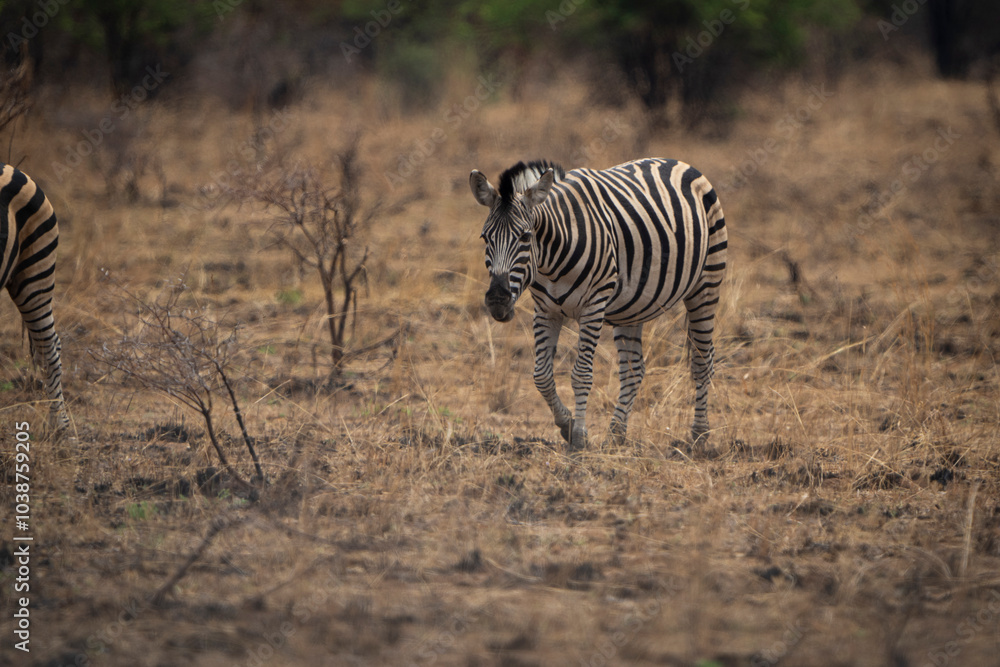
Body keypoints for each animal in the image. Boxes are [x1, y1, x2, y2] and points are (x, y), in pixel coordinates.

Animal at [470, 158, 727, 451]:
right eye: (485, 238)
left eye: (525, 237)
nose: (497, 300)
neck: (551, 260)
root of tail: (678, 162)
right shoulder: (545, 311)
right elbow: (541, 376)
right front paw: (567, 425)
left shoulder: (593, 307)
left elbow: (581, 375)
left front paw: (580, 438)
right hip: (632, 307)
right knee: (633, 370)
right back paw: (616, 434)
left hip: (706, 284)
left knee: (702, 360)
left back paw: (699, 435)